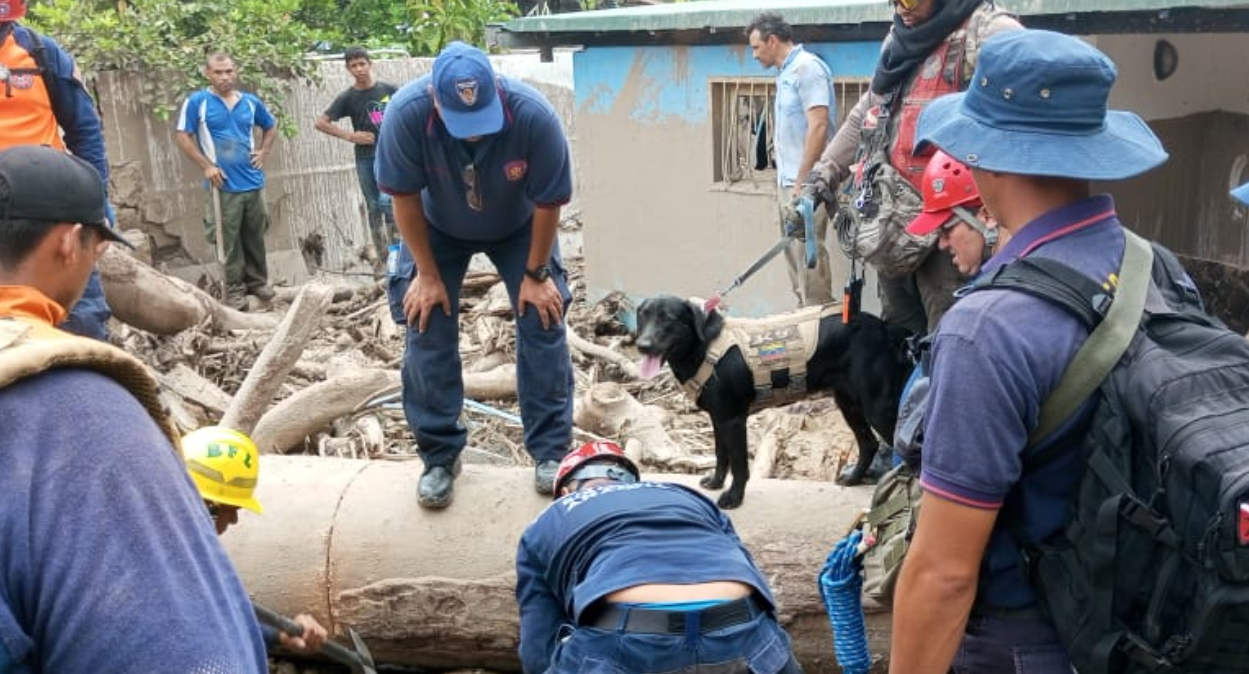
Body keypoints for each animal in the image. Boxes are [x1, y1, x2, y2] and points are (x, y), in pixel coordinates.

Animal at [639, 293, 914, 504]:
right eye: (643, 316)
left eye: (669, 319)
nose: (642, 345)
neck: (704, 348)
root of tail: (885, 328)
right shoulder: (718, 418)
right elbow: (720, 454)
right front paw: (716, 482)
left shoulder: (734, 420)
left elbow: (739, 464)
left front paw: (734, 498)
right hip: (848, 402)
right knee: (869, 444)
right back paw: (853, 479)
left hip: (878, 407)